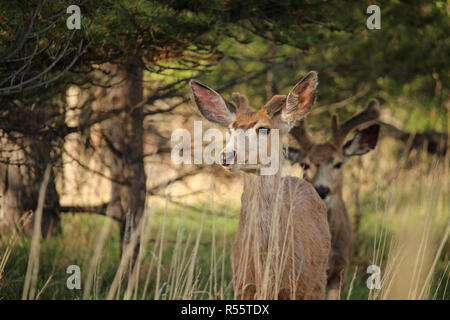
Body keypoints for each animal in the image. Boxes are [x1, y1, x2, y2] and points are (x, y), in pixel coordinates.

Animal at [190, 71, 330, 298]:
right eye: (229, 129)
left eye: (264, 129)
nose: (226, 155)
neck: (267, 274)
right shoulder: (242, 286)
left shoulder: (301, 287)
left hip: (319, 280)